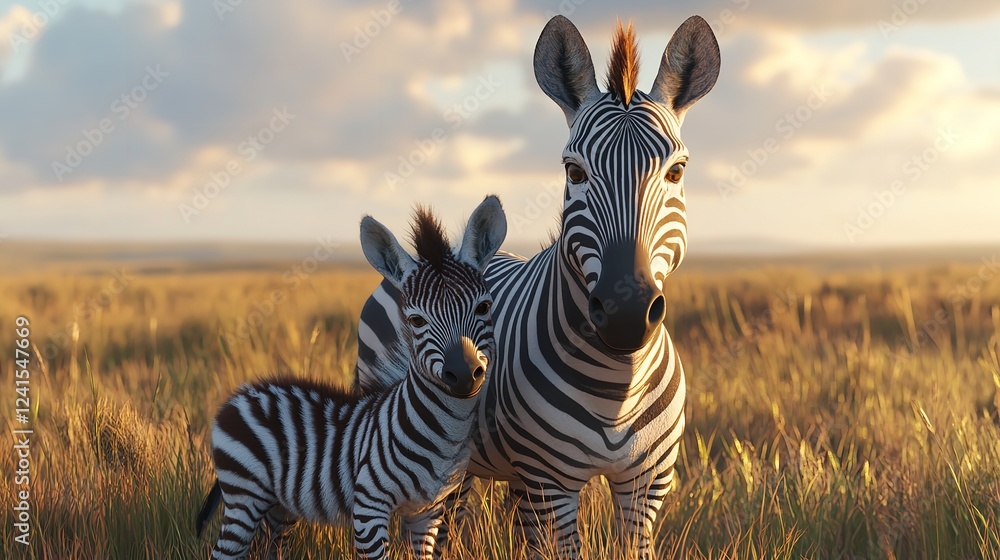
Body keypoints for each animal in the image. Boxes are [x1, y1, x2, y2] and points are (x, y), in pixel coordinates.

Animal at [196, 196, 507, 560]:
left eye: (484, 307)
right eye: (415, 320)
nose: (463, 375)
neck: (444, 434)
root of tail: (240, 395)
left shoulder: (427, 513)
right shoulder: (369, 507)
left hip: (279, 504)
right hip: (244, 496)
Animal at [355, 15, 720, 558]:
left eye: (677, 171)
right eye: (574, 171)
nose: (626, 312)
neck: (619, 383)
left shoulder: (646, 485)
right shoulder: (551, 485)